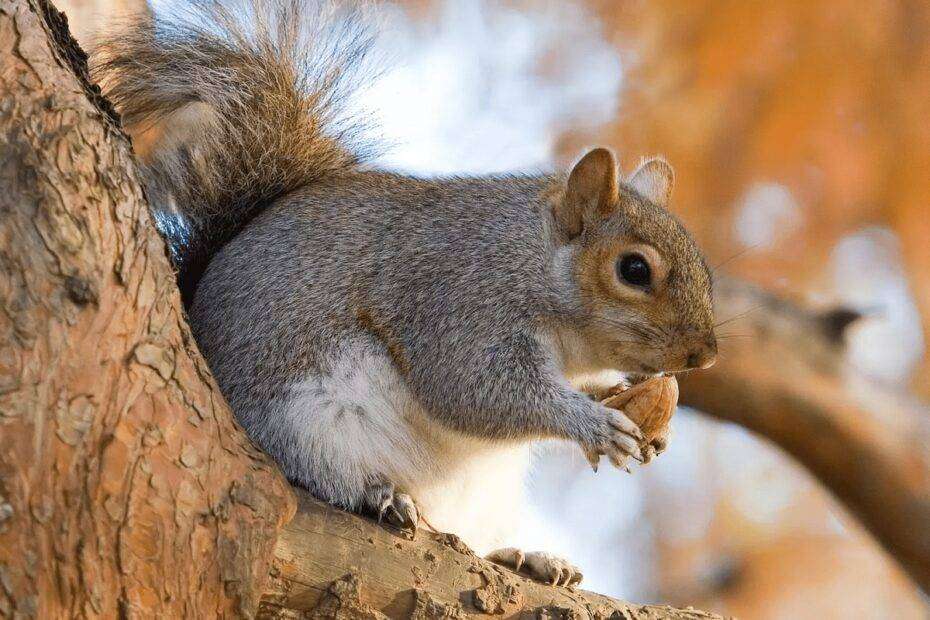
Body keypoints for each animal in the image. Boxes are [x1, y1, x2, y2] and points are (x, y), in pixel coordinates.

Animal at [93, 0, 717, 586]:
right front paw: (593, 424)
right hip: (303, 421)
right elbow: (476, 390)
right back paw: (379, 494)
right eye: (633, 269)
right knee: (319, 471)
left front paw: (631, 406)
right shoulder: (457, 301)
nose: (705, 356)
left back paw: (525, 558)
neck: (531, 263)